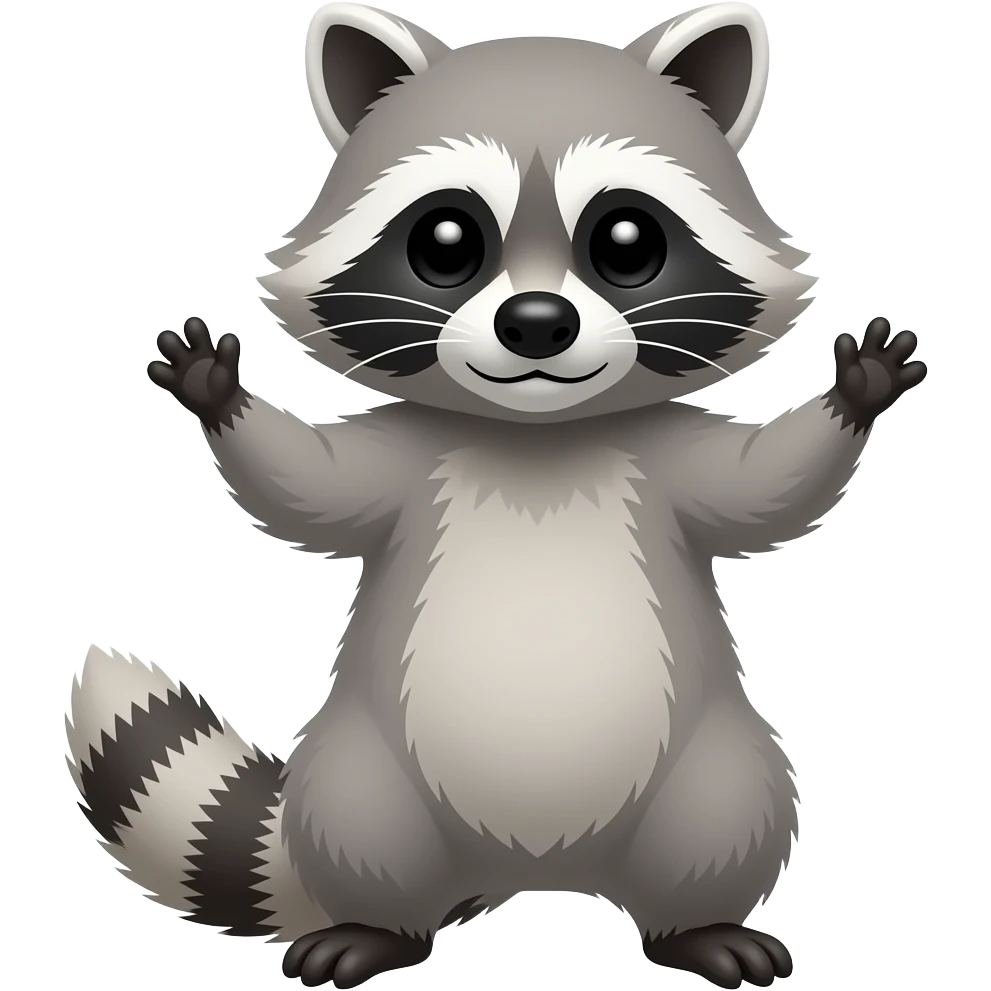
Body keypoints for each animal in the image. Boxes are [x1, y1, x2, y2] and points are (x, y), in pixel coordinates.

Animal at [66, 3, 926, 989]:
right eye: (447, 243)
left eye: (627, 242)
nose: (537, 326)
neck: (536, 432)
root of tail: (531, 867)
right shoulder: (407, 450)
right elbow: (307, 488)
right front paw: (221, 398)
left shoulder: (665, 450)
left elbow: (765, 489)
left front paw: (853, 396)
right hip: (364, 774)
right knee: (359, 820)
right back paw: (380, 926)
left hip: (709, 764)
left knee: (729, 808)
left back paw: (697, 925)